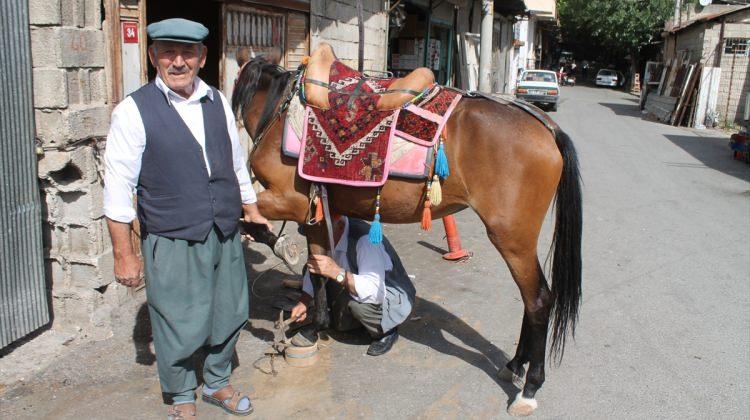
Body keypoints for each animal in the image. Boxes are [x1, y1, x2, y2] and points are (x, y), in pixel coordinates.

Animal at [232, 58, 584, 416]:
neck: (278, 110)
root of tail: (546, 128)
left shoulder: (290, 201)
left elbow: (247, 219)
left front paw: (282, 248)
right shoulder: (315, 212)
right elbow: (318, 269)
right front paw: (314, 325)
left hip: (512, 238)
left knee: (539, 300)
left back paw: (529, 388)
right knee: (532, 298)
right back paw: (514, 365)